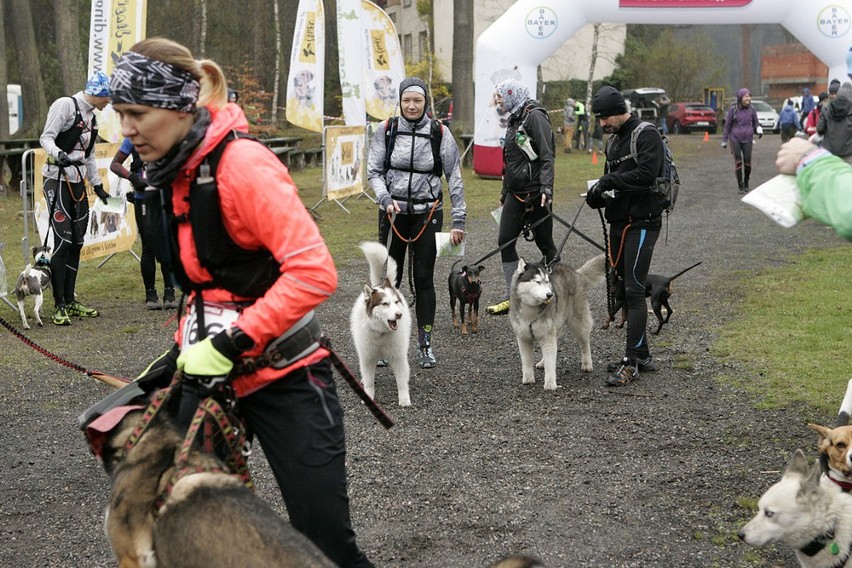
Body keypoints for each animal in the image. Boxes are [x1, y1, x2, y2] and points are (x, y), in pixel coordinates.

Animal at [348, 242, 412, 406]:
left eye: (396, 302)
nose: (399, 315)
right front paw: (368, 396)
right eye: (384, 304)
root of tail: (378, 284)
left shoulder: (398, 356)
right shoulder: (367, 357)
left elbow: (401, 382)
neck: (380, 333)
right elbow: (369, 383)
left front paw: (404, 399)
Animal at [506, 254, 604, 390]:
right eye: (537, 282)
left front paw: (550, 383)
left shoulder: (547, 336)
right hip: (555, 324)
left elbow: (550, 362)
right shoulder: (523, 337)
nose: (550, 295)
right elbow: (526, 361)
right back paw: (542, 362)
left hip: (578, 323)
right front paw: (528, 378)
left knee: (585, 344)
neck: (530, 310)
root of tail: (576, 272)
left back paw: (587, 364)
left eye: (547, 281)